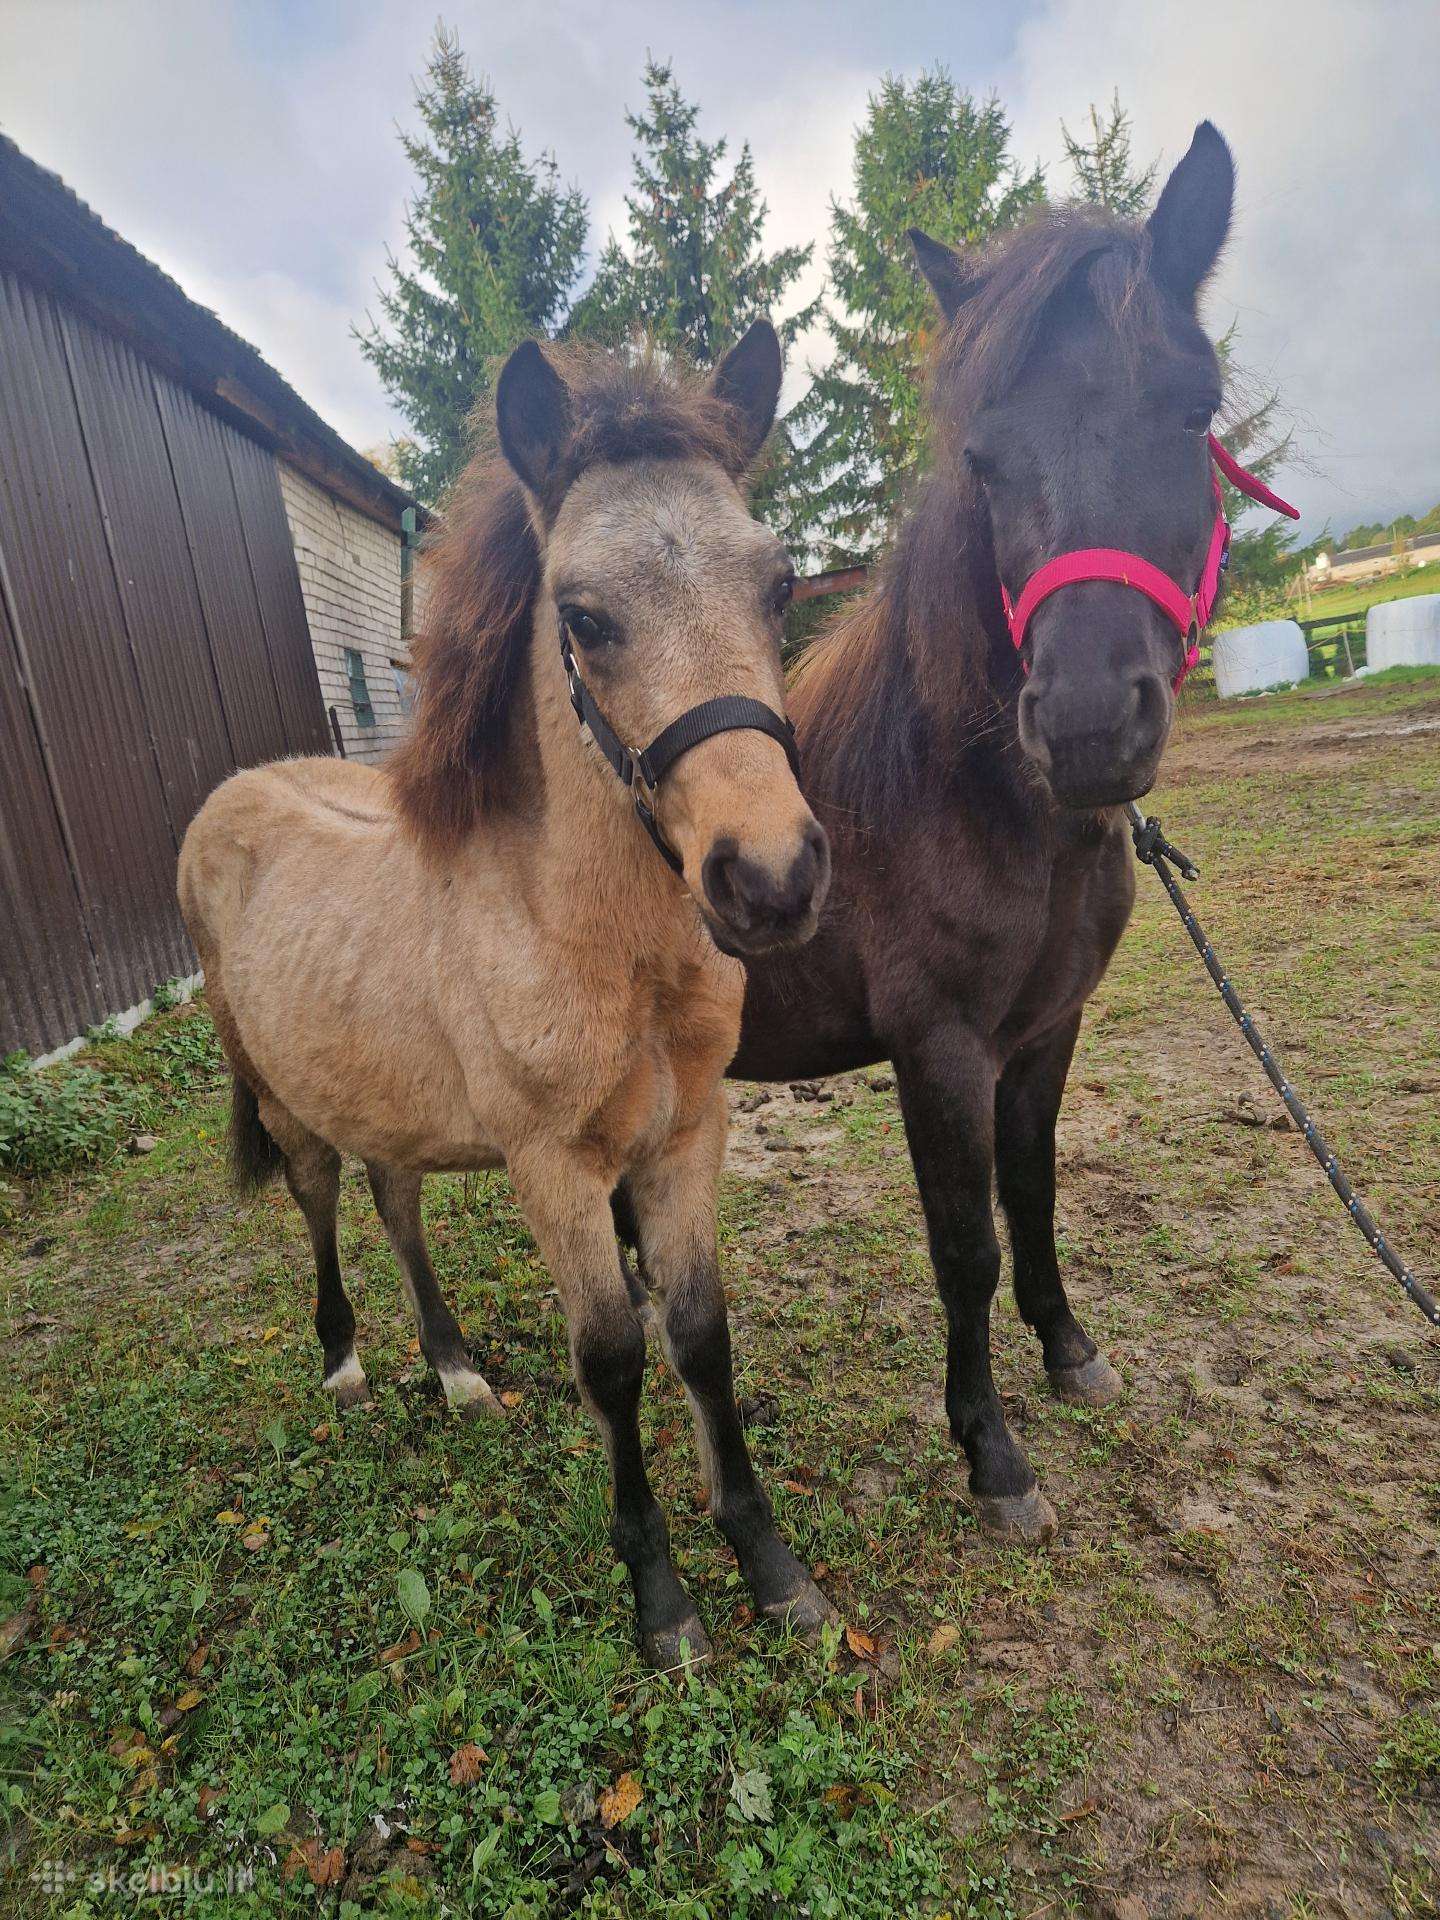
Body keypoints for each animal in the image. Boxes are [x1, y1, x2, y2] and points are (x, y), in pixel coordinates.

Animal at [179, 326, 835, 1666]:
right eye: (582, 616)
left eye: (780, 583)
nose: (771, 878)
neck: (594, 944)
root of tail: (227, 800)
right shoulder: (554, 1168)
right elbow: (614, 1359)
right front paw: (662, 1599)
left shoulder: (686, 1138)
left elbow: (700, 1333)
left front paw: (770, 1565)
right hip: (277, 1090)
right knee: (323, 1196)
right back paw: (346, 1364)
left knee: (395, 1199)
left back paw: (456, 1371)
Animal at [733, 124, 1247, 1541]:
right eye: (980, 458)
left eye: (1193, 410)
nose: (1085, 724)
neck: (963, 798)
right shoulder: (941, 1048)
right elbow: (963, 1241)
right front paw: (993, 1453)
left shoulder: (1046, 1028)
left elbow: (1034, 1189)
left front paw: (1070, 1351)